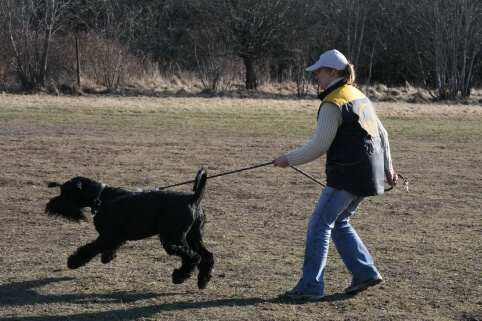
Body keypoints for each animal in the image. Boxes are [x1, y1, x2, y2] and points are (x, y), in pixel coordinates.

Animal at [44, 168, 214, 288]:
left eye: (65, 193)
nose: (50, 205)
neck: (101, 198)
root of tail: (194, 199)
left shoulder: (107, 237)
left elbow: (89, 249)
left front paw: (73, 262)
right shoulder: (115, 236)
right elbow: (110, 246)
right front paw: (107, 257)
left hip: (173, 239)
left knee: (193, 256)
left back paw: (179, 277)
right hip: (193, 237)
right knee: (208, 256)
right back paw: (203, 280)